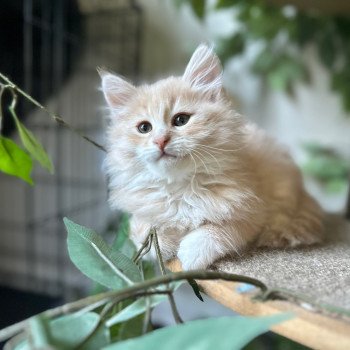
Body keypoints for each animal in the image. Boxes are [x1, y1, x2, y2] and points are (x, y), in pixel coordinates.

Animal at [100, 43, 324, 270]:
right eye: (144, 128)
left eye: (181, 120)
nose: (160, 140)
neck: (180, 188)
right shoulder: (140, 210)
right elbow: (143, 230)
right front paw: (160, 242)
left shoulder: (253, 211)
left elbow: (219, 230)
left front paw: (191, 253)